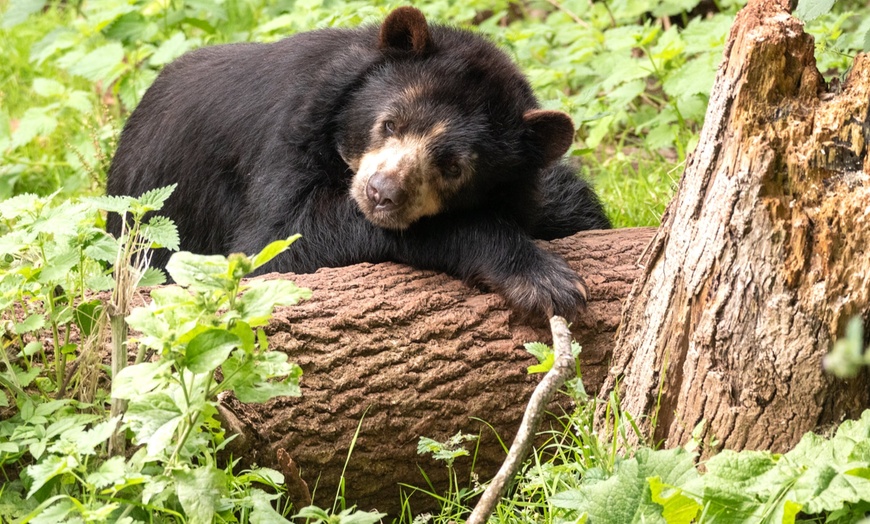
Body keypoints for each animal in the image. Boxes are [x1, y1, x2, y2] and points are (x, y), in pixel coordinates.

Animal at [107, 7, 612, 320]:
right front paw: (545, 281)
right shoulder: (289, 135)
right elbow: (276, 244)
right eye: (389, 123)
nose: (381, 193)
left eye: (454, 167)